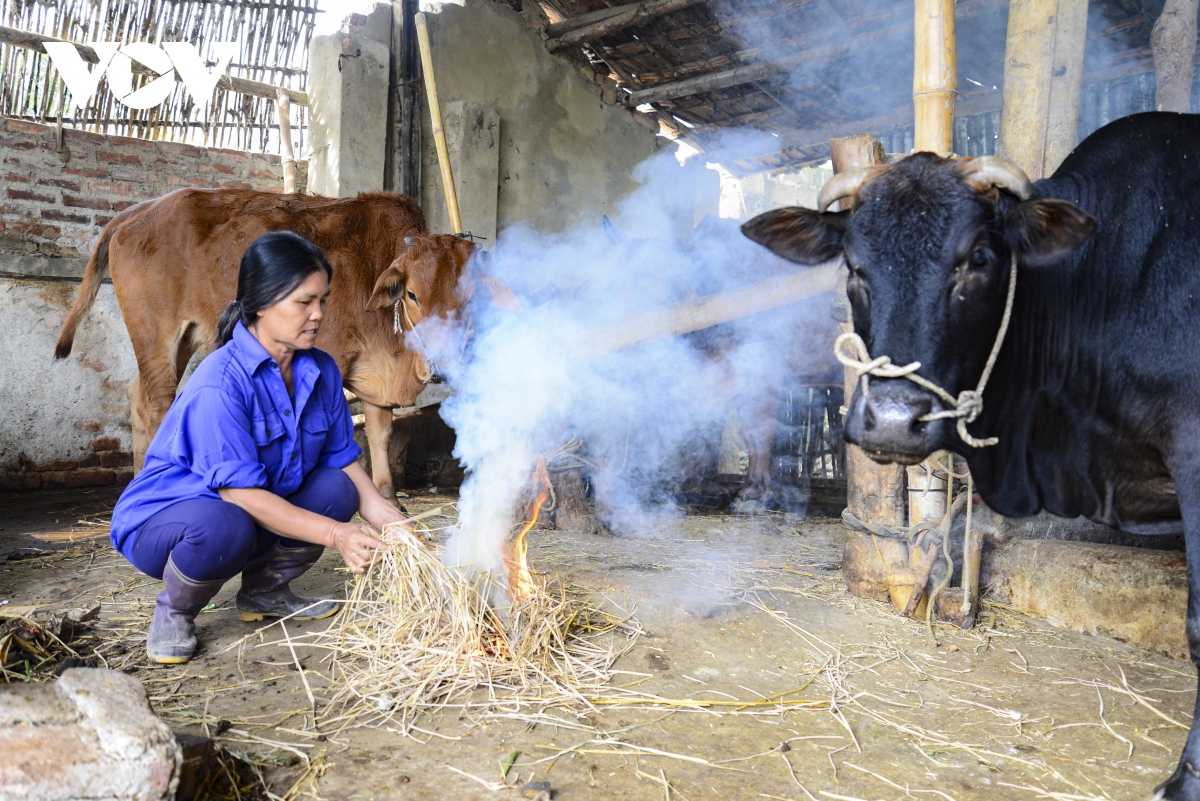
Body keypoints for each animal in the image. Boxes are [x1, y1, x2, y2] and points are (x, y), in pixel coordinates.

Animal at [55, 188, 477, 501]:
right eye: (412, 294)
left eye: (470, 297)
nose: (440, 364)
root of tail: (136, 211)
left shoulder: (377, 376)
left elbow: (381, 435)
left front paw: (391, 507)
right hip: (155, 332)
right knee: (157, 403)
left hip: (185, 336)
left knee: (135, 394)